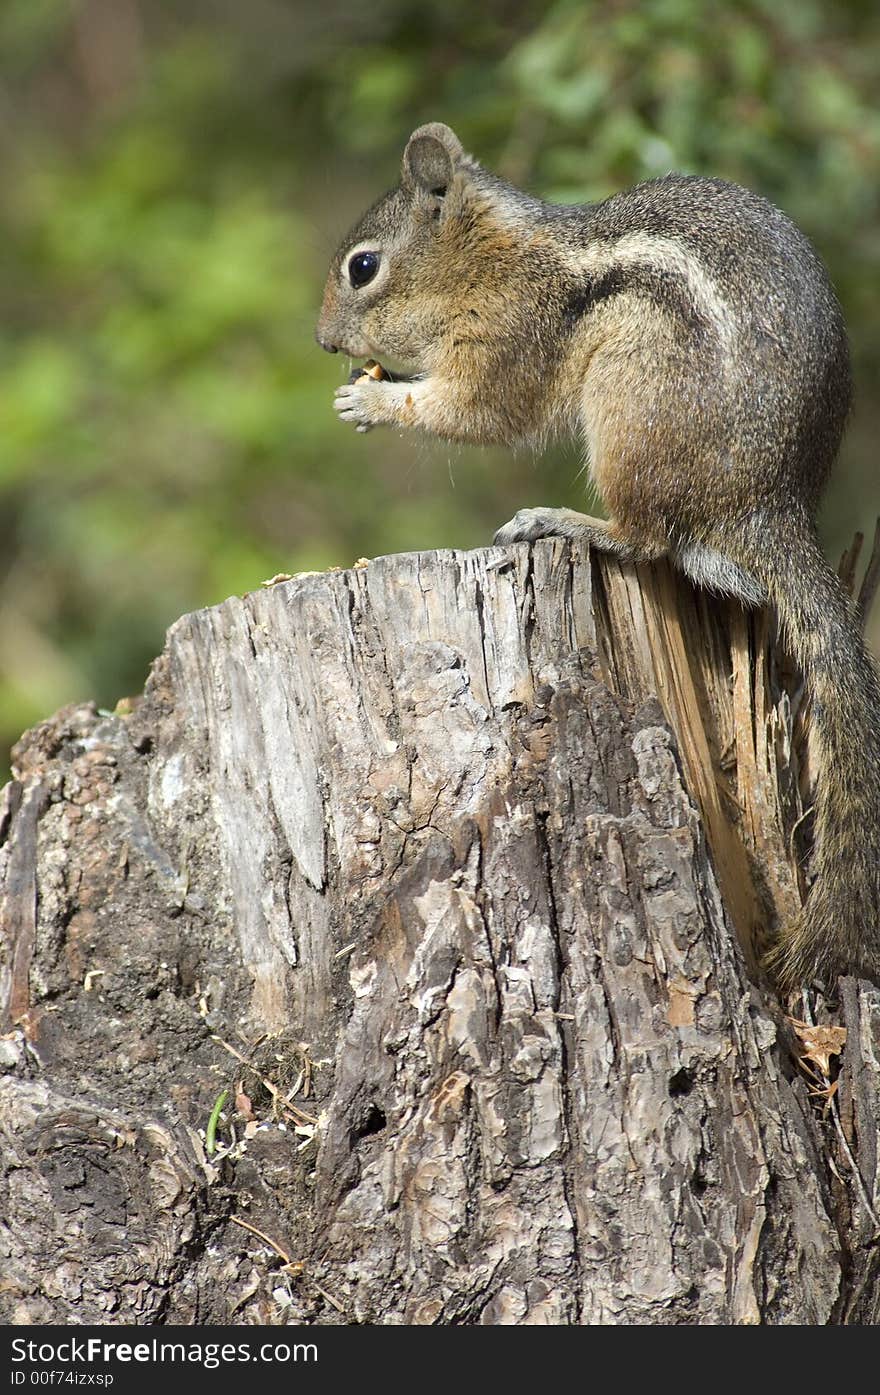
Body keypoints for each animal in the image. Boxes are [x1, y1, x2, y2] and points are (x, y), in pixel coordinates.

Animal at [316, 117, 880, 993]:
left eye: (363, 267)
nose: (322, 341)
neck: (490, 257)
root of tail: (774, 506)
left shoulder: (508, 338)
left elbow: (478, 410)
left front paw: (372, 398)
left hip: (628, 393)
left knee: (648, 535)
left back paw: (562, 520)